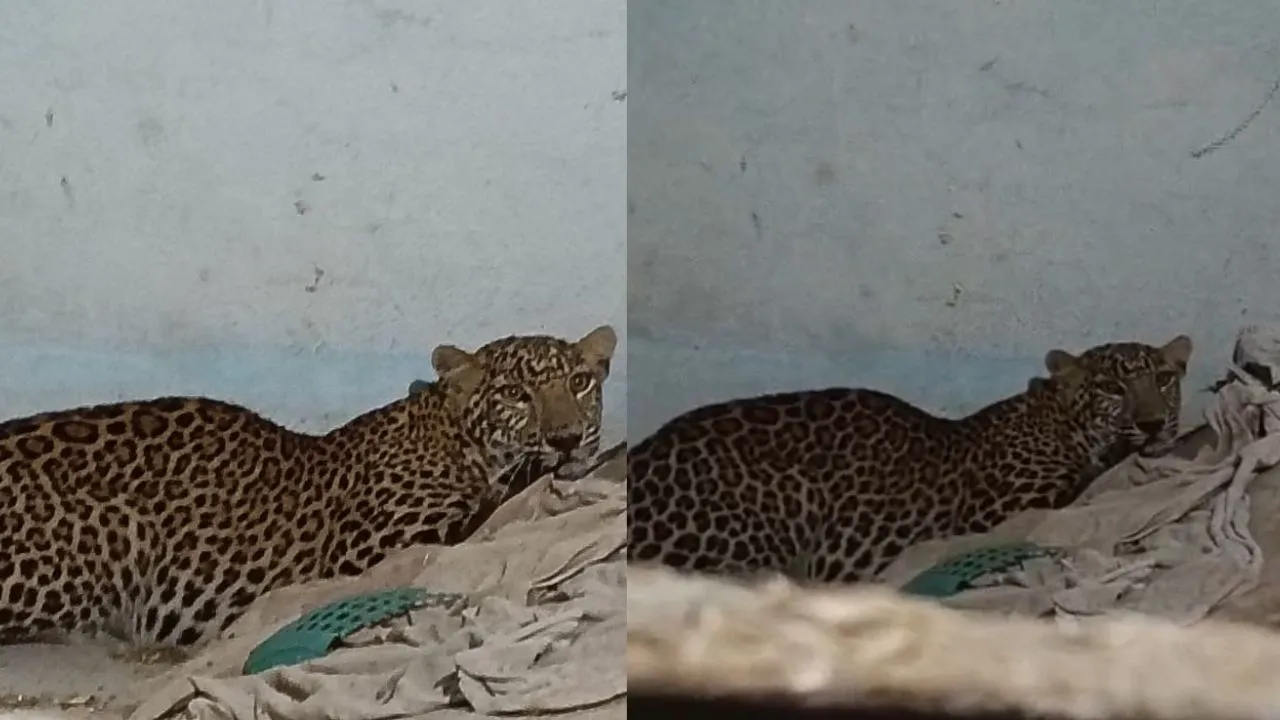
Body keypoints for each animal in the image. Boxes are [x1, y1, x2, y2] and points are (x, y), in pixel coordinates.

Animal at [0, 324, 616, 648]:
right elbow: (488, 513)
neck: (451, 435)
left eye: (580, 383)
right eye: (514, 394)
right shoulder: (369, 553)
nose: (567, 437)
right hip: (114, 530)